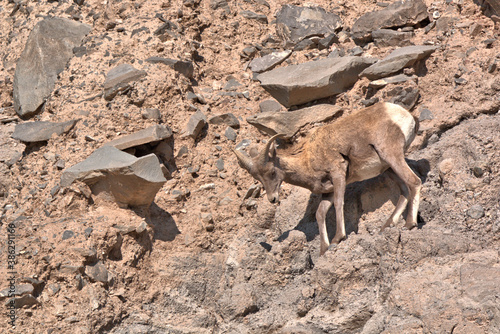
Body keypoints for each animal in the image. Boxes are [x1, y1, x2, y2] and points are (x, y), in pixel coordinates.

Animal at [234, 102, 422, 256]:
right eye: (258, 178)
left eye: (272, 172)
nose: (272, 199)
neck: (308, 157)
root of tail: (405, 114)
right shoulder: (328, 191)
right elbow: (320, 214)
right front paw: (324, 249)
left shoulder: (338, 174)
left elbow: (339, 203)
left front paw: (338, 238)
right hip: (388, 168)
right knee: (404, 190)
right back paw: (387, 226)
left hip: (391, 156)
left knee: (414, 182)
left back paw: (409, 224)